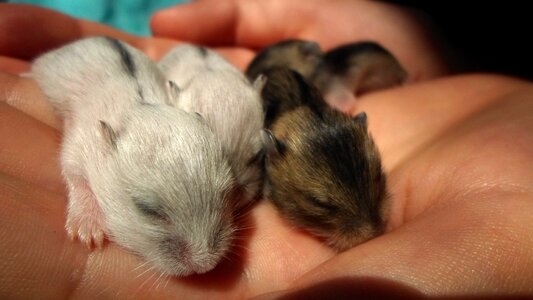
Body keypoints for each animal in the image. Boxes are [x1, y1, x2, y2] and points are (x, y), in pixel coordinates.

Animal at [30, 37, 235, 276]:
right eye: (146, 209)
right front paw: (89, 235)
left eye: (226, 194)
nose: (205, 266)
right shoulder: (77, 147)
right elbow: (76, 178)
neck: (137, 108)